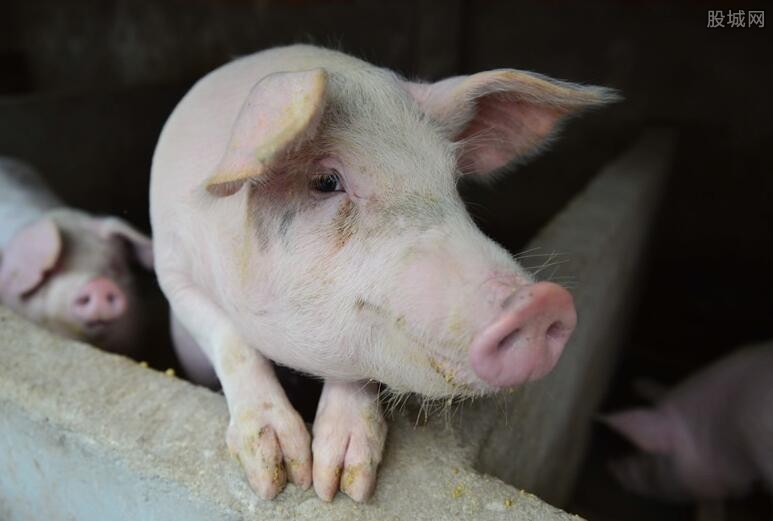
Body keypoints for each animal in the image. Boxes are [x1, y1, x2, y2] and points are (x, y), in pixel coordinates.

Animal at [148, 43, 612, 500]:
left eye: (452, 182)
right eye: (326, 181)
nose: (541, 302)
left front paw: (340, 486)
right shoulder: (171, 270)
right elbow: (230, 340)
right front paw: (281, 477)